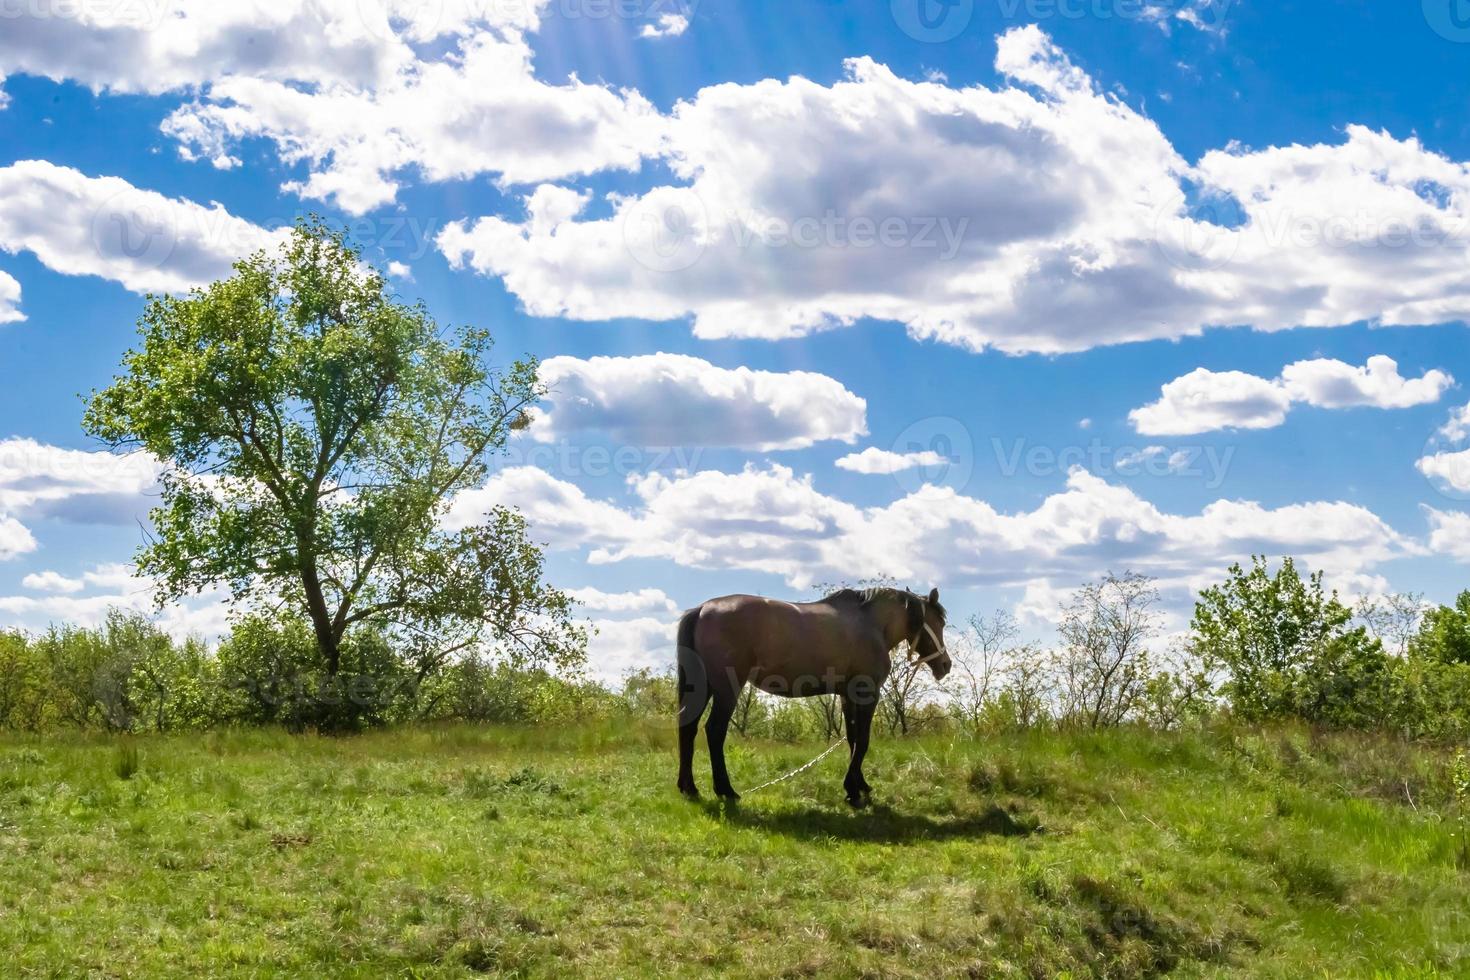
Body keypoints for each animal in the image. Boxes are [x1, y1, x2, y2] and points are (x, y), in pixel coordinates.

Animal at [676, 587, 952, 811]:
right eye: (938, 622)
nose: (945, 665)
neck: (870, 623)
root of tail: (702, 609)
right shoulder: (867, 693)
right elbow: (863, 741)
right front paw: (854, 792)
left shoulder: (847, 696)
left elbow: (852, 741)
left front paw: (859, 786)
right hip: (726, 688)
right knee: (714, 731)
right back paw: (726, 790)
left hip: (702, 686)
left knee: (688, 728)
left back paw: (690, 788)